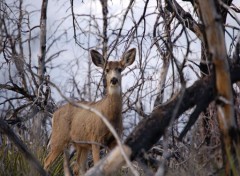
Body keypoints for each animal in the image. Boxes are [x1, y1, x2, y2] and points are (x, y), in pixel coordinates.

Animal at [43, 47, 136, 175]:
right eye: (107, 70)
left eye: (120, 69)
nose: (114, 80)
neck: (109, 117)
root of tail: (54, 114)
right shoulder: (95, 138)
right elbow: (97, 165)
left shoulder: (115, 140)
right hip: (59, 137)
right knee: (47, 162)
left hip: (80, 144)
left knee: (77, 167)